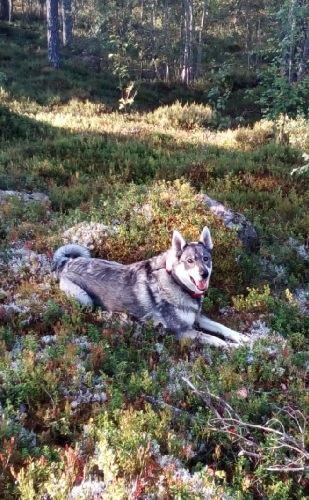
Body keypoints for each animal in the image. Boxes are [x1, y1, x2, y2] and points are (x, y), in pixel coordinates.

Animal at [51, 228, 247, 348]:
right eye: (190, 261)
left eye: (206, 259)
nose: (204, 274)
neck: (176, 283)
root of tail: (66, 263)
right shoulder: (183, 332)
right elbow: (214, 338)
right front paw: (233, 347)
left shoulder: (198, 318)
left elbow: (222, 327)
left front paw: (243, 338)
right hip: (85, 300)